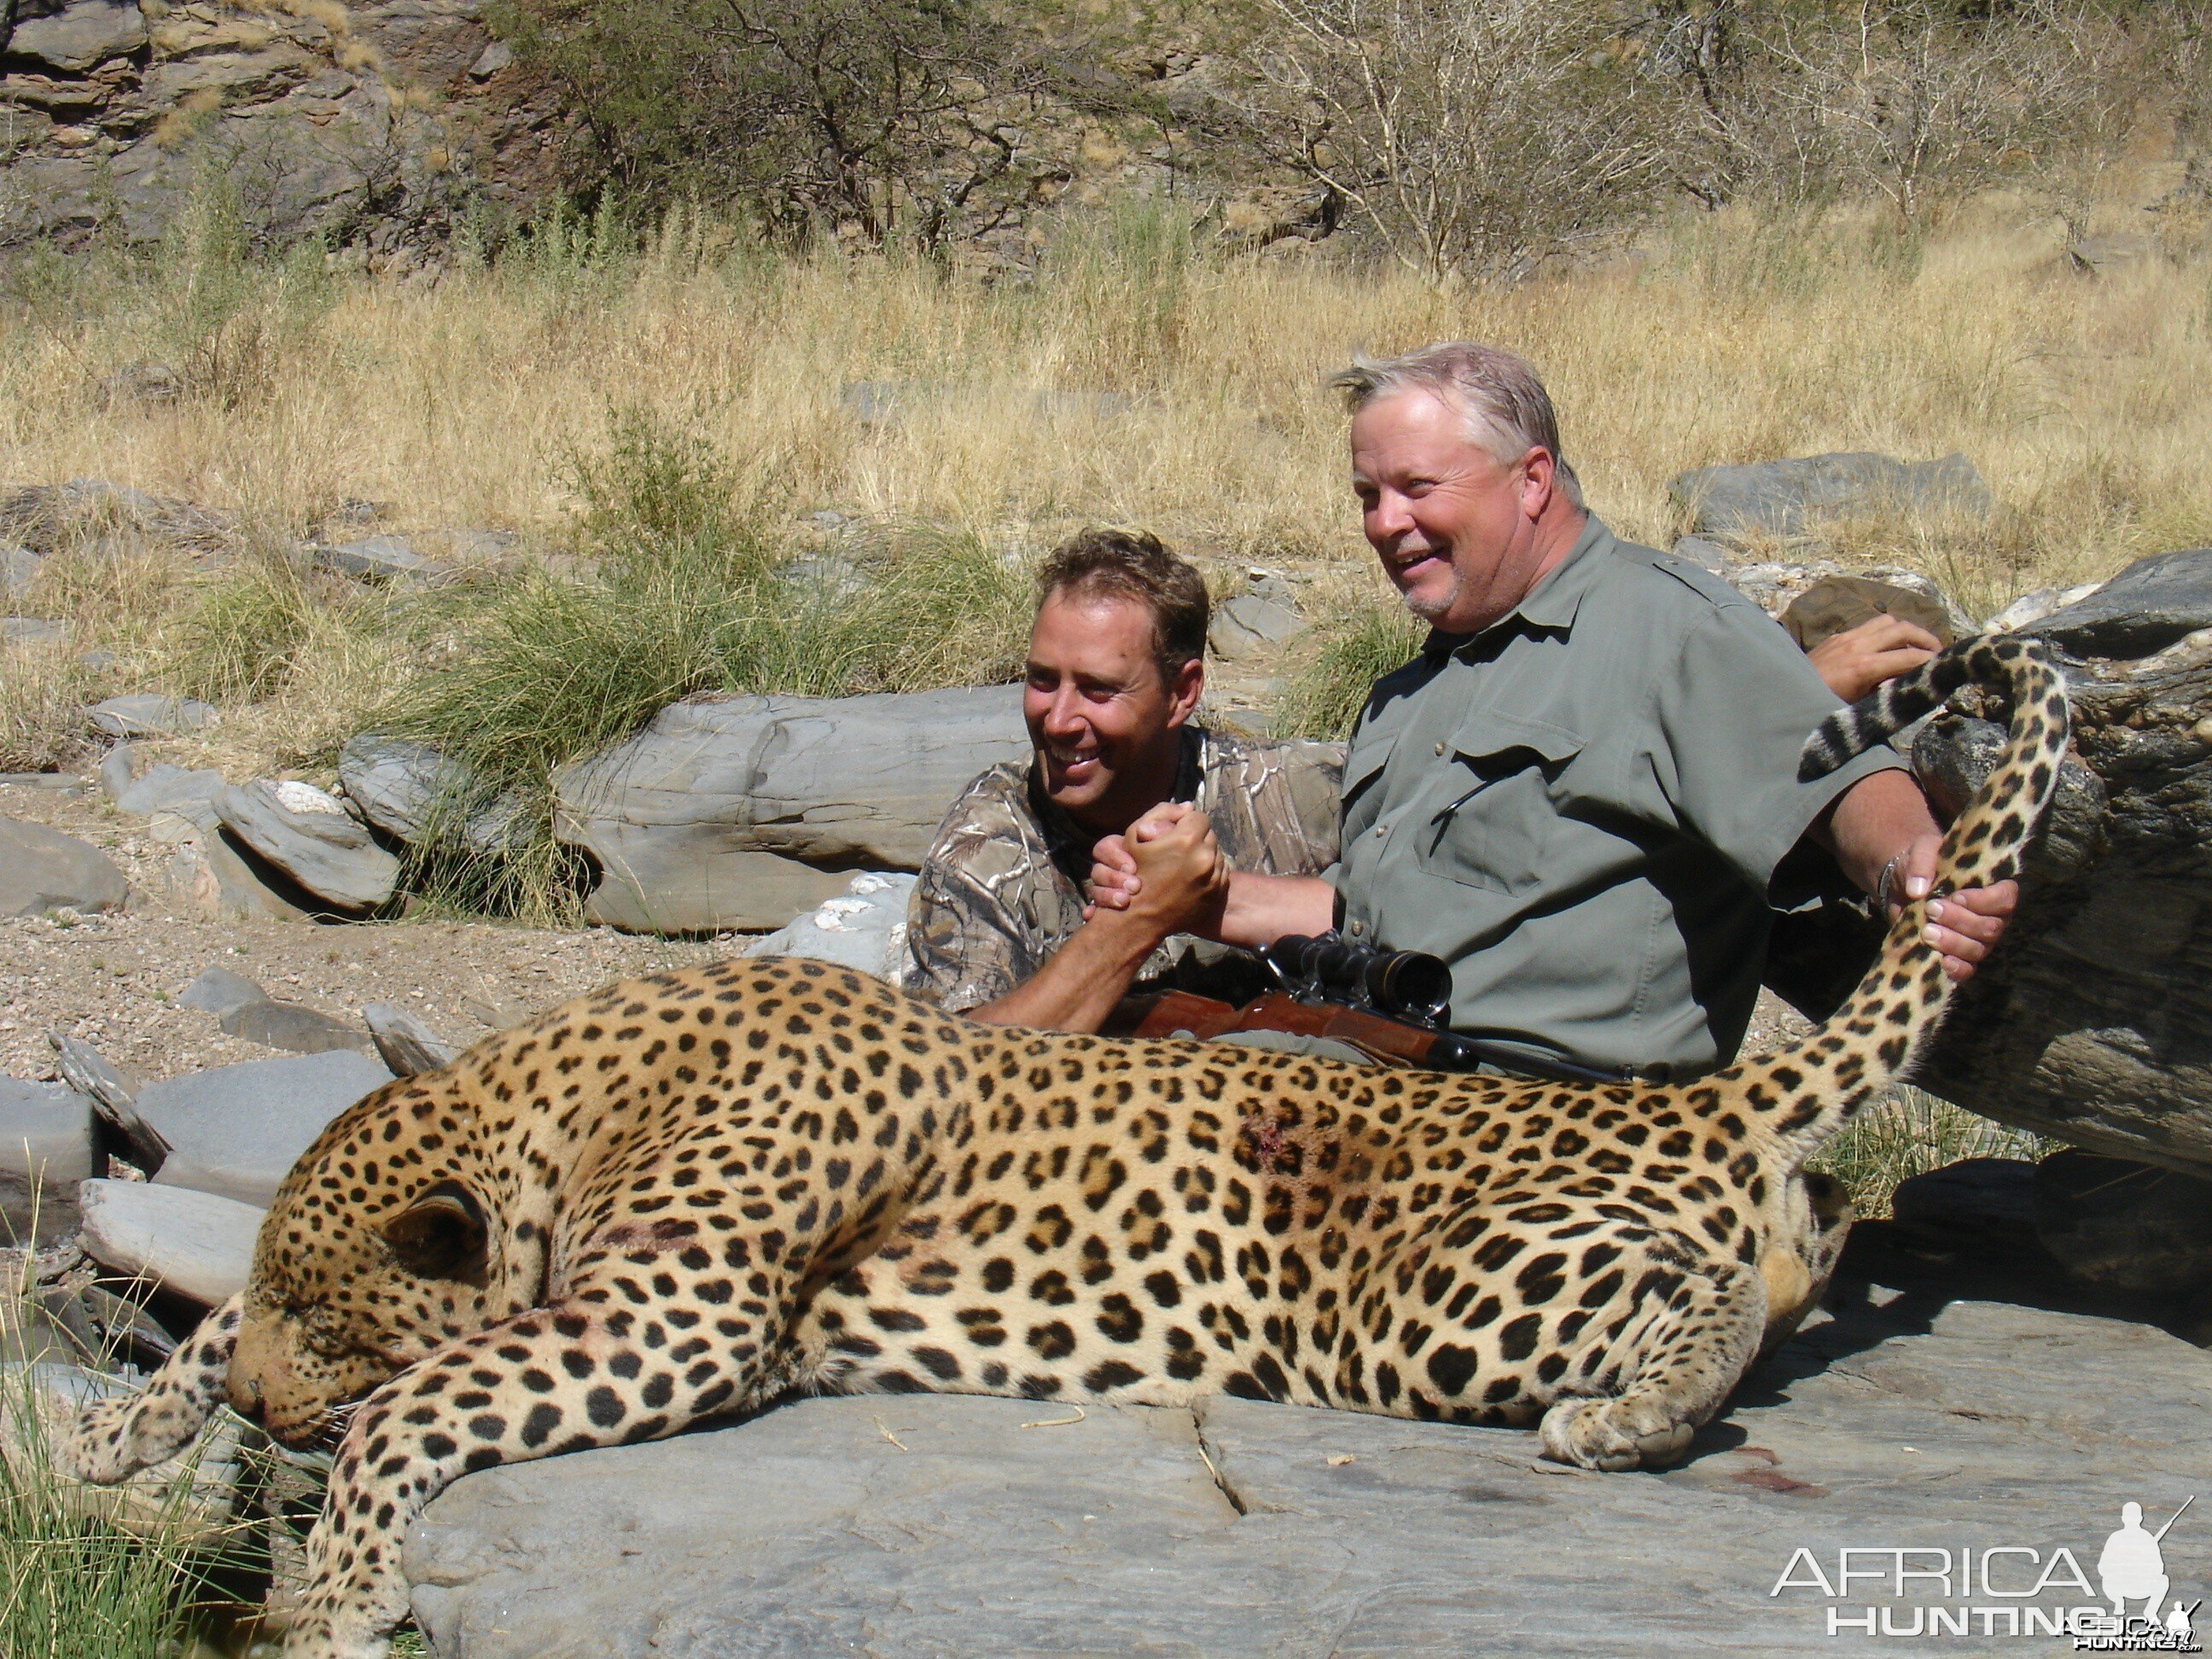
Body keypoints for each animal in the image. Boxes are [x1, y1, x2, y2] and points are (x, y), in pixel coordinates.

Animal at [60, 641, 2061, 1659]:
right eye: (285, 1312)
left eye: (335, 1318)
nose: (261, 1401)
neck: (581, 1091)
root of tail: (1671, 1097)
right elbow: (216, 1345)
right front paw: (117, 1429)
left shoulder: (678, 1319)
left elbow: (409, 1408)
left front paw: (333, 1588)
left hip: (1426, 1294)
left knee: (1707, 1284)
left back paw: (1633, 1411)